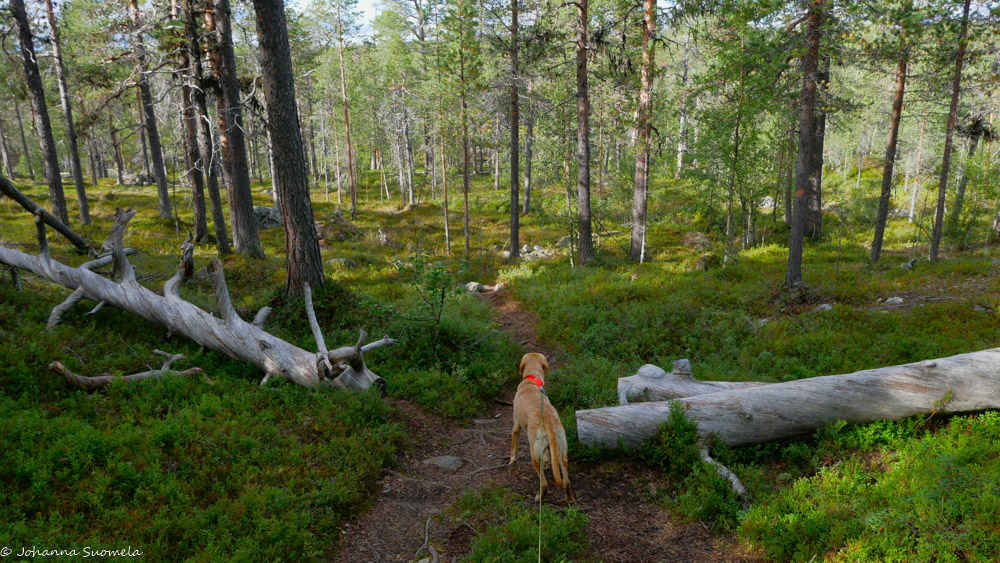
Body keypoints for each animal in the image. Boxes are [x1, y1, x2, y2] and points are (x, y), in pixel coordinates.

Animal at [509, 352, 573, 503]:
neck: (532, 380)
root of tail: (548, 420)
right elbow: (548, 455)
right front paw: (547, 463)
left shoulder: (516, 427)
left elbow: (514, 448)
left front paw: (511, 461)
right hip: (562, 451)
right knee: (566, 481)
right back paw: (569, 499)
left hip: (534, 453)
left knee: (544, 483)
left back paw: (539, 498)